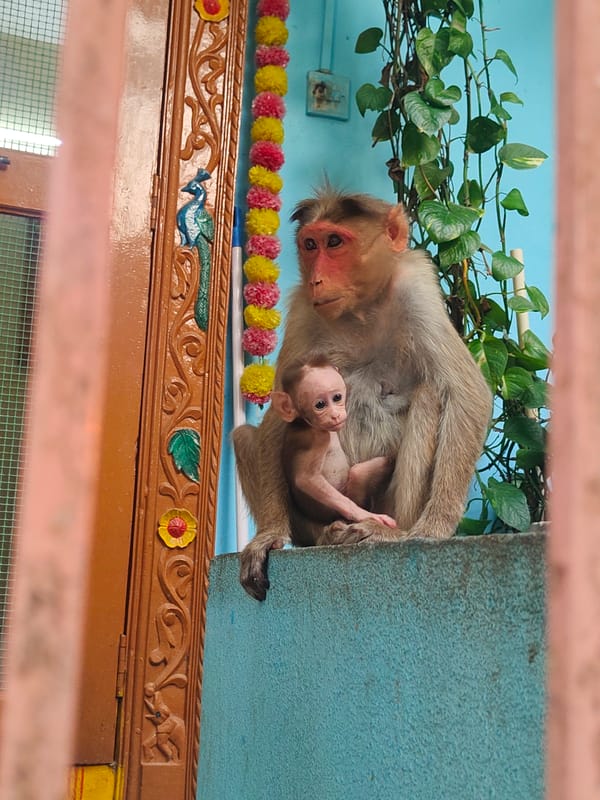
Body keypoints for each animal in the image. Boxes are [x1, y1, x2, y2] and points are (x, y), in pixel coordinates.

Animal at [271, 352, 397, 535]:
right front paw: (362, 515)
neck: (305, 423)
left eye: (337, 397)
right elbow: (306, 479)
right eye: (320, 404)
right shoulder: (317, 439)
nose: (335, 415)